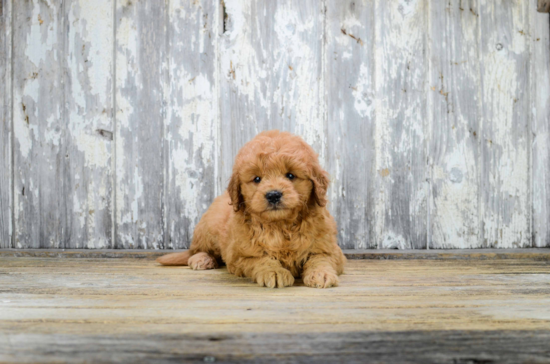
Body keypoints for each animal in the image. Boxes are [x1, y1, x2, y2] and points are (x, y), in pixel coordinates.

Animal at [157, 129, 344, 288]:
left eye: (290, 175)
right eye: (257, 179)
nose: (273, 195)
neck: (280, 225)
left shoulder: (330, 248)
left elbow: (321, 258)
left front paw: (321, 274)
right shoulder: (240, 255)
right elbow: (260, 259)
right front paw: (274, 271)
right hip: (207, 229)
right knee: (197, 250)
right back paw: (202, 259)